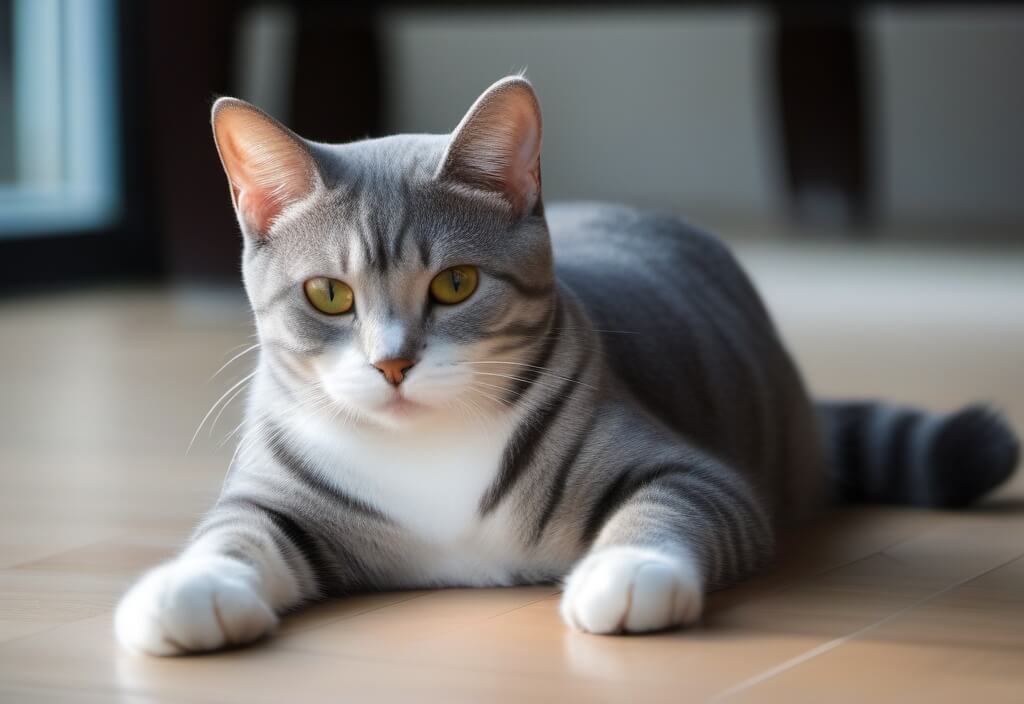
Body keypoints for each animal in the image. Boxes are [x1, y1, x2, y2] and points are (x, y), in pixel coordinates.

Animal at [116, 75, 1019, 654]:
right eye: (329, 295)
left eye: (455, 283)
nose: (393, 365)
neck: (427, 452)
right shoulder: (278, 490)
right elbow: (235, 529)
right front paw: (189, 586)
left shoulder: (692, 470)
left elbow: (671, 504)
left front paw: (629, 572)